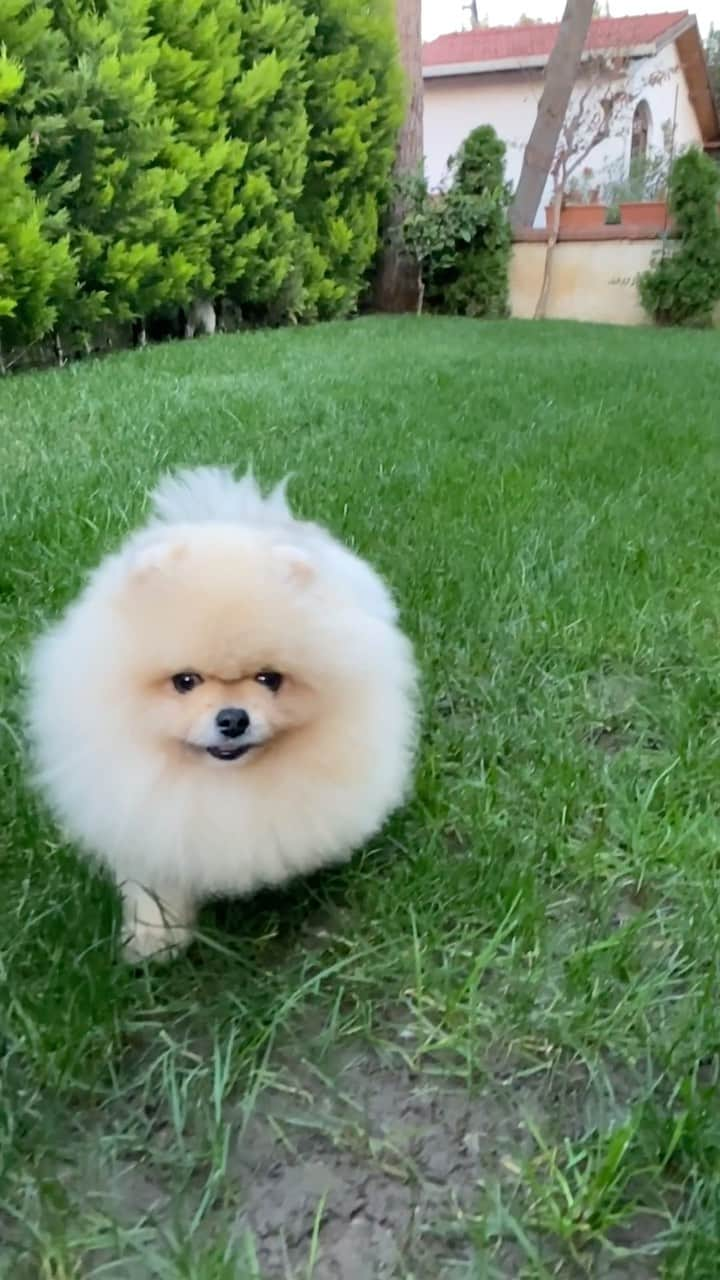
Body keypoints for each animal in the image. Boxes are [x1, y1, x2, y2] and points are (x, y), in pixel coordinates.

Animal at [28, 468, 417, 962]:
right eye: (185, 681)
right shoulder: (142, 816)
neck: (221, 786)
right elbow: (154, 888)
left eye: (270, 679)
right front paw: (155, 942)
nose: (233, 718)